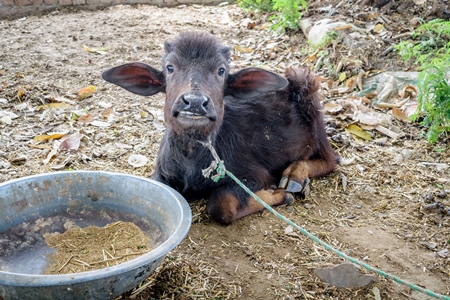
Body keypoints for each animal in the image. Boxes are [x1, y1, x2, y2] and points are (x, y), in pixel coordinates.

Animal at [102, 32, 338, 225]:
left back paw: (294, 178)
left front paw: (278, 194)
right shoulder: (162, 175)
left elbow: (221, 204)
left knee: (331, 159)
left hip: (311, 103)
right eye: (170, 68)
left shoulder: (253, 176)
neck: (192, 158)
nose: (195, 103)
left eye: (221, 70)